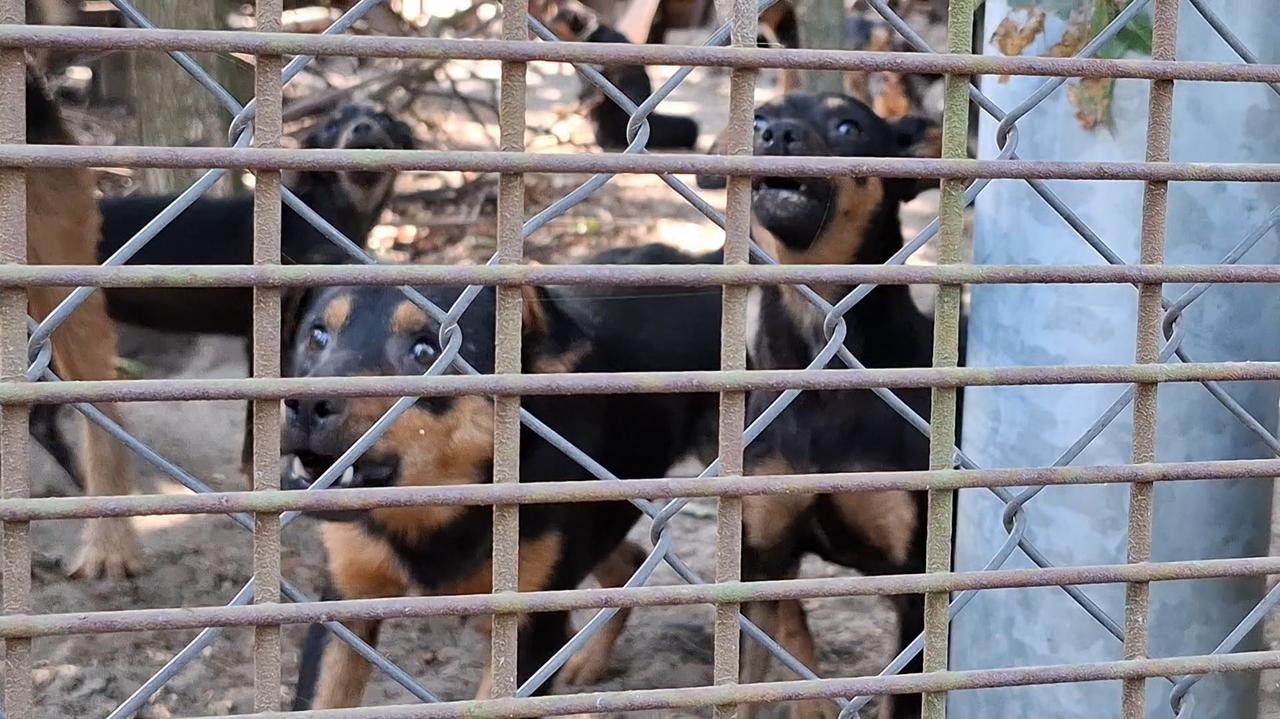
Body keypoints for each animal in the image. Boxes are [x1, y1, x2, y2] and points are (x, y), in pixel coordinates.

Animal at [282, 272, 721, 706]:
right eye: (317, 336)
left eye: (425, 350)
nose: (303, 405)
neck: (437, 509)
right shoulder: (341, 604)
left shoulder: (530, 628)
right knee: (629, 562)